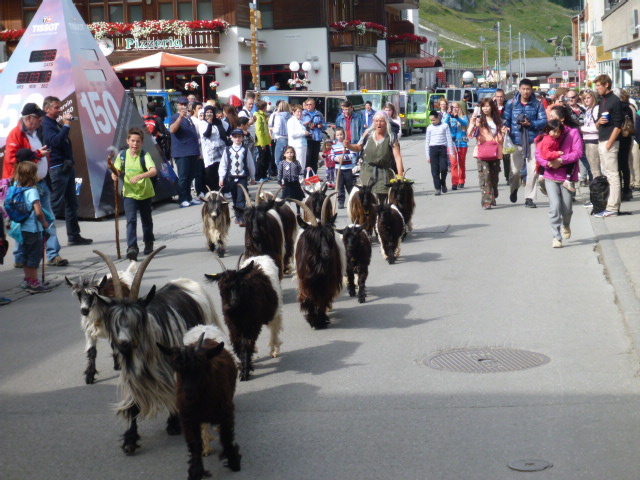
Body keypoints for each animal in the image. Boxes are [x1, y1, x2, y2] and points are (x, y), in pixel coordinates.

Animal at [159, 328, 241, 480]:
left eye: (201, 367)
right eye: (178, 369)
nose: (188, 392)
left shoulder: (226, 413)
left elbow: (226, 437)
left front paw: (234, 462)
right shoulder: (188, 419)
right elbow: (195, 444)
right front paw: (196, 472)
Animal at [290, 195, 344, 330]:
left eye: (329, 236)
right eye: (314, 238)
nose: (327, 253)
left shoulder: (327, 281)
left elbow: (323, 298)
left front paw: (321, 320)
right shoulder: (305, 281)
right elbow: (309, 299)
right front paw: (313, 320)